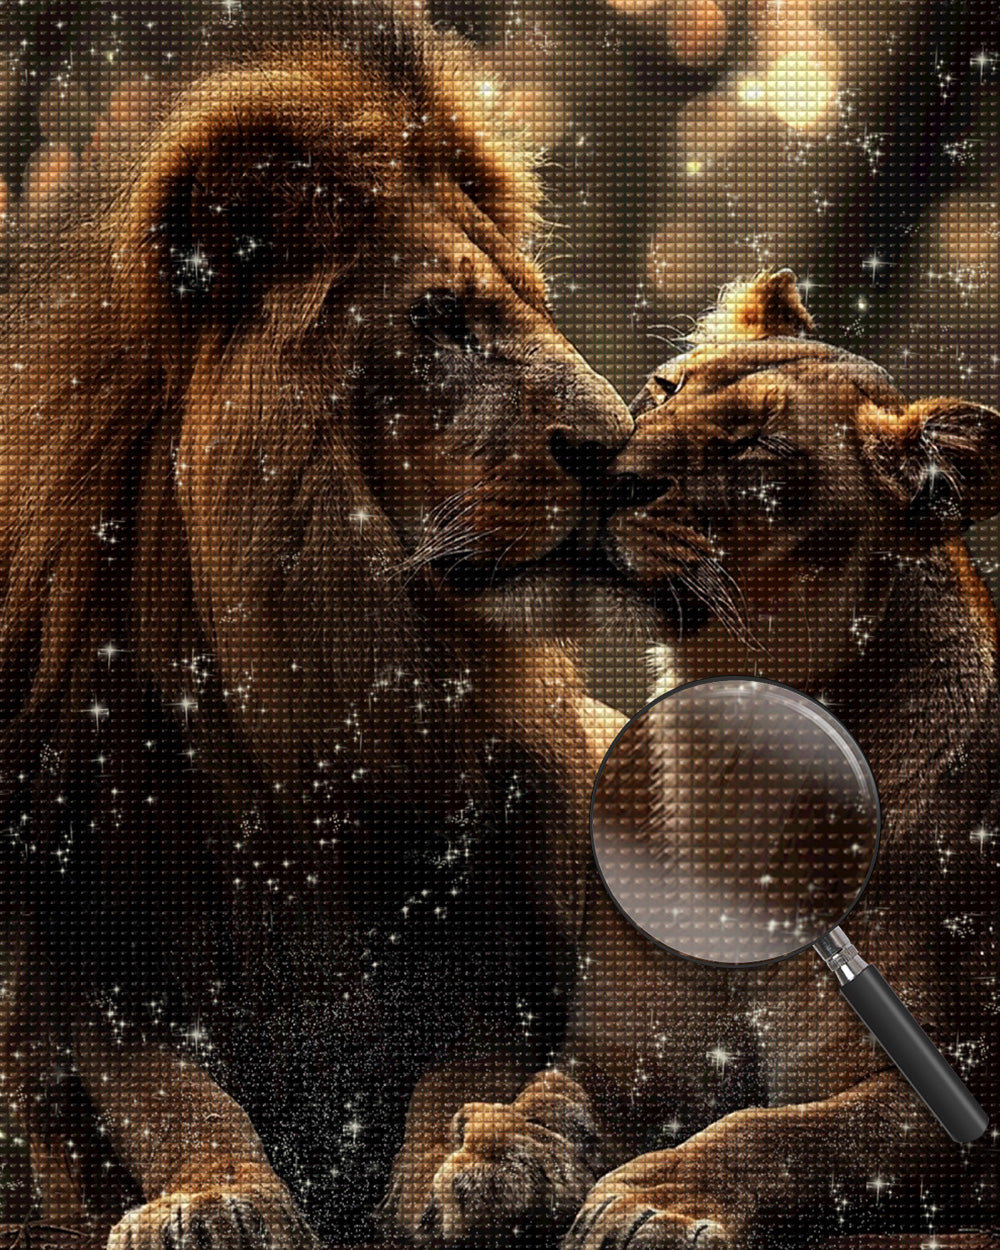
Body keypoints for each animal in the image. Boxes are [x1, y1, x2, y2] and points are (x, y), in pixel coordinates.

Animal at [0, 5, 652, 1245]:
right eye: (441, 322)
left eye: (535, 306)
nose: (624, 450)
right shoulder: (67, 946)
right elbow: (153, 1084)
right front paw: (213, 1197)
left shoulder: (504, 917)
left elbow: (475, 1054)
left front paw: (492, 1164)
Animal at [409, 272, 1000, 1249]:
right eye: (662, 388)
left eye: (757, 454)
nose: (605, 473)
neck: (731, 758)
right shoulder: (625, 1061)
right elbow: (552, 1091)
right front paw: (494, 1155)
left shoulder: (971, 1084)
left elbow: (795, 1131)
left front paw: (656, 1196)